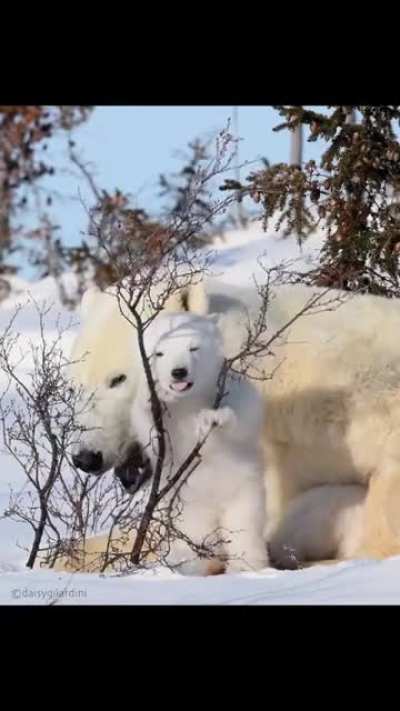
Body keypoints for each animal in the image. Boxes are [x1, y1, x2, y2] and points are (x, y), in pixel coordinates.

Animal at [129, 311, 268, 575]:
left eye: (193, 347)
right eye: (159, 353)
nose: (179, 372)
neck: (188, 400)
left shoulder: (227, 385)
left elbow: (247, 413)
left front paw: (211, 419)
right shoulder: (168, 424)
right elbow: (153, 436)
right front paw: (153, 398)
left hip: (243, 491)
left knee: (245, 528)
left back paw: (246, 566)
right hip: (186, 510)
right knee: (193, 539)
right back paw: (189, 566)